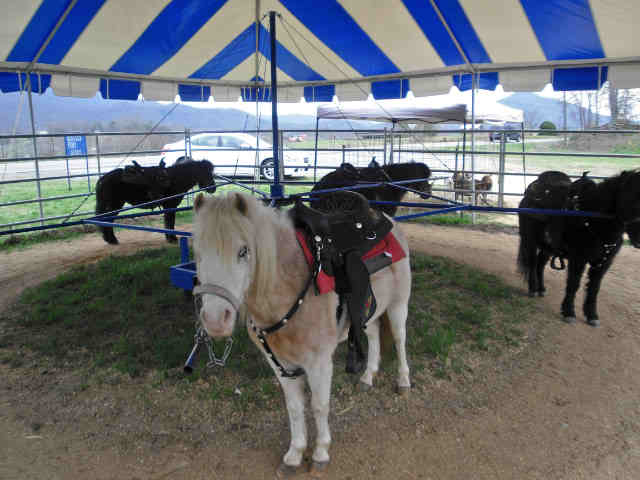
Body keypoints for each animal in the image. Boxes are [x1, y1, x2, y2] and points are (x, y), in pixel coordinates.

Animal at [191, 191, 410, 476]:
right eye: (197, 253)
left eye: (243, 251)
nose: (216, 320)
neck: (287, 287)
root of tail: (386, 219)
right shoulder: (280, 364)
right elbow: (294, 408)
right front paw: (294, 455)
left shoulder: (319, 362)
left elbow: (319, 405)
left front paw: (320, 453)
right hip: (370, 309)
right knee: (373, 334)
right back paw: (367, 376)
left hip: (398, 305)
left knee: (399, 338)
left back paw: (403, 382)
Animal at [516, 169, 640, 326]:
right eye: (631, 196)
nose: (639, 240)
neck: (591, 220)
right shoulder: (578, 259)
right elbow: (573, 284)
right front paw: (569, 312)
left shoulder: (603, 263)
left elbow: (594, 288)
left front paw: (592, 315)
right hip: (530, 241)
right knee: (532, 263)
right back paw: (533, 289)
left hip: (548, 246)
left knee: (540, 264)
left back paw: (541, 288)